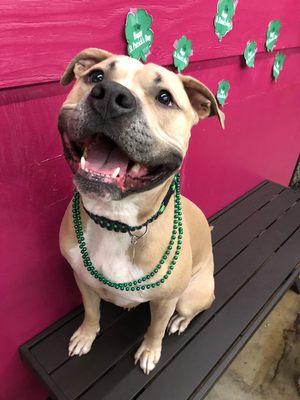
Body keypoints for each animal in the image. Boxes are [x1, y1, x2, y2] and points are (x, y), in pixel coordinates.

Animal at [58, 47, 224, 376]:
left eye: (165, 97)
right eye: (96, 75)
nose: (111, 95)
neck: (116, 220)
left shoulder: (166, 301)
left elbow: (155, 329)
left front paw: (149, 351)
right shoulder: (82, 278)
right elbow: (91, 311)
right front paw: (86, 335)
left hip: (190, 296)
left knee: (197, 306)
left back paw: (180, 321)